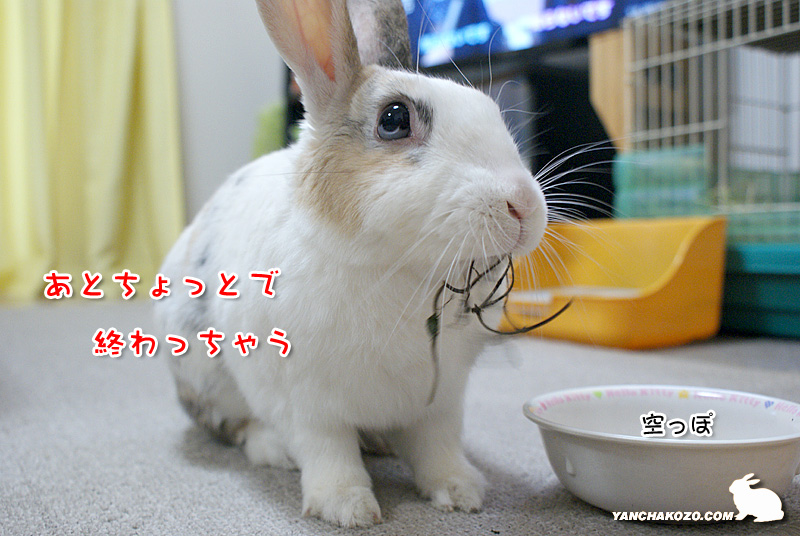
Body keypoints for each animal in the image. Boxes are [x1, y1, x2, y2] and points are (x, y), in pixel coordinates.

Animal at [154, 0, 547, 527]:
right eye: (394, 118)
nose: (523, 205)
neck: (395, 269)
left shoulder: (441, 400)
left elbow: (439, 447)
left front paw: (462, 492)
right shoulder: (308, 402)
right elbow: (328, 452)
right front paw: (349, 509)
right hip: (206, 378)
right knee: (234, 427)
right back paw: (272, 449)